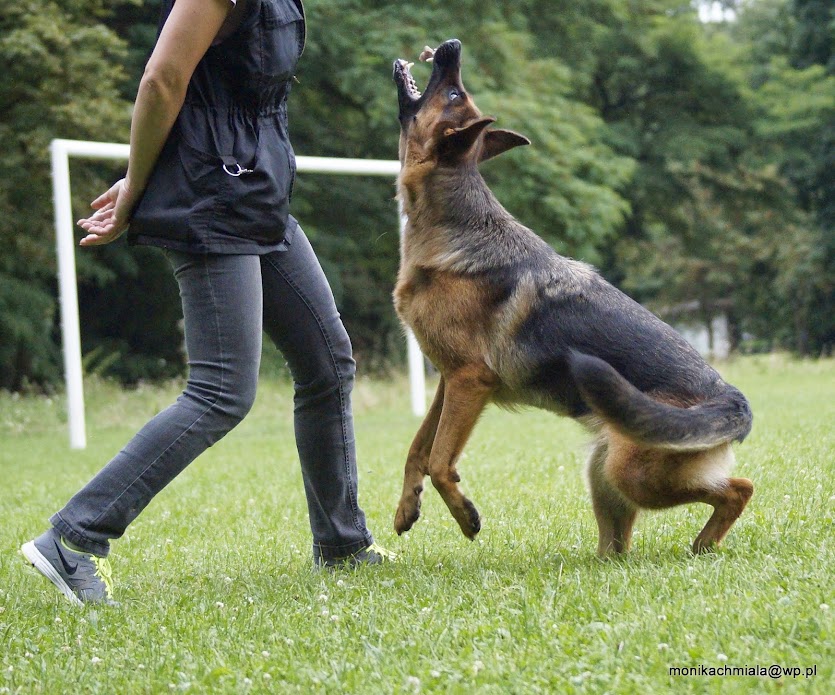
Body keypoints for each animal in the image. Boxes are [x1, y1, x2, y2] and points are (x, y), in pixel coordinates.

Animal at [390, 39, 754, 555]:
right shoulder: (448, 381)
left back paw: (703, 546)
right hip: (605, 467)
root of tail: (729, 399)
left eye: (455, 92)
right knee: (617, 550)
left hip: (632, 470)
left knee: (739, 488)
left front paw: (465, 515)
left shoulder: (469, 381)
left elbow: (440, 461)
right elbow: (418, 448)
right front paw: (407, 507)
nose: (452, 47)